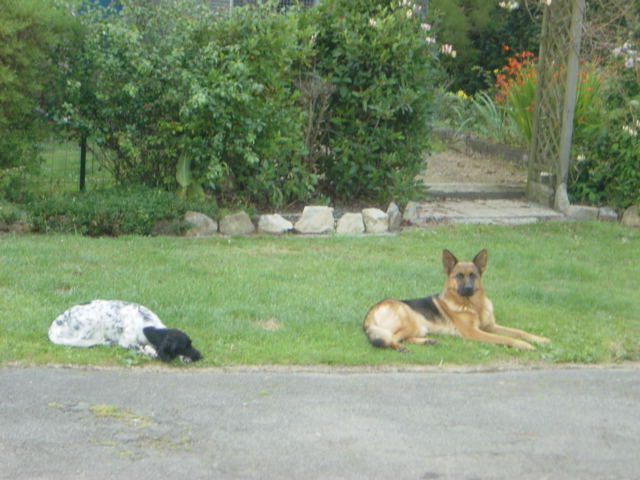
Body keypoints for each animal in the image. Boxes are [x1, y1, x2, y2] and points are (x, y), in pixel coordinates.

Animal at [47, 298, 202, 362]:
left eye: (191, 343)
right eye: (185, 346)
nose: (201, 356)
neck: (148, 326)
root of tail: (53, 328)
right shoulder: (126, 342)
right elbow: (141, 348)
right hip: (93, 323)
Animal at [362, 251, 552, 352]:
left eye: (473, 275)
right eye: (459, 276)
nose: (467, 288)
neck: (474, 306)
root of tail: (370, 312)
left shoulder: (490, 326)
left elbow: (519, 332)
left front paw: (540, 339)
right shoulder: (474, 332)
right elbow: (505, 339)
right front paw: (524, 345)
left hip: (419, 327)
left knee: (403, 338)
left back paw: (428, 341)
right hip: (412, 322)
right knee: (391, 338)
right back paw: (399, 347)